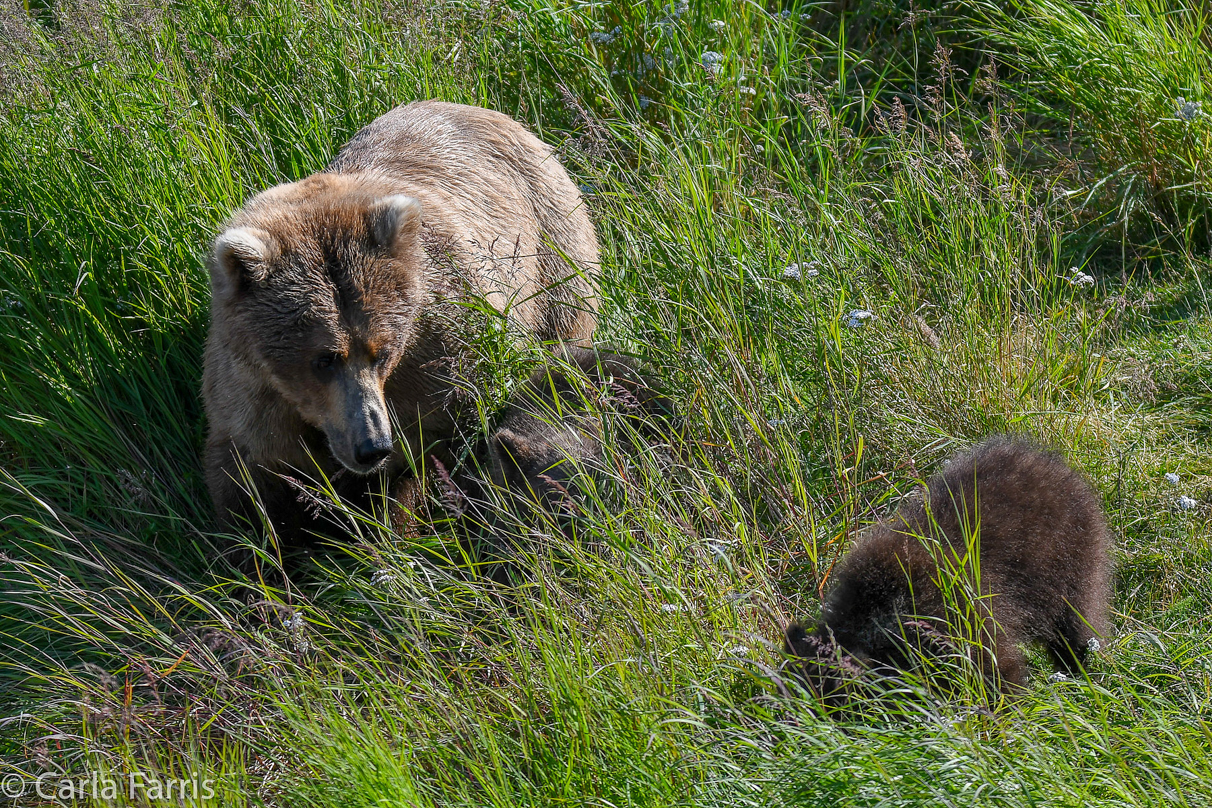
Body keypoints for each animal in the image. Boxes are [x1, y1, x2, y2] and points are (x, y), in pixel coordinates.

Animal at [204, 101, 601, 542]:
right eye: (324, 358)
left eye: (382, 352)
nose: (372, 444)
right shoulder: (251, 392)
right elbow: (248, 479)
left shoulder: (436, 358)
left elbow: (423, 458)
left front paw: (393, 526)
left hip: (551, 248)